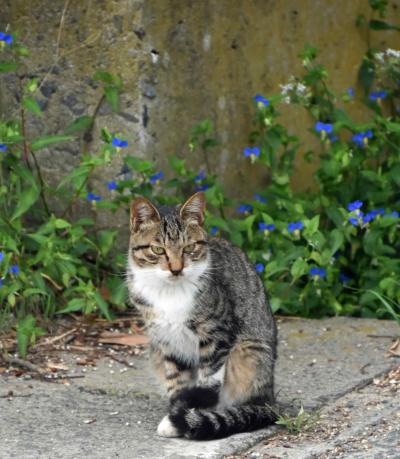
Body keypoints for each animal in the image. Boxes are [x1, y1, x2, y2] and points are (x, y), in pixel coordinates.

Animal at [126, 192, 276, 440]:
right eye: (158, 250)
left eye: (189, 247)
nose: (176, 269)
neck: (169, 294)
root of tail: (270, 396)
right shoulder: (167, 341)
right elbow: (177, 382)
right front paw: (179, 411)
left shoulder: (217, 333)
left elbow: (209, 380)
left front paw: (191, 417)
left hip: (248, 351)